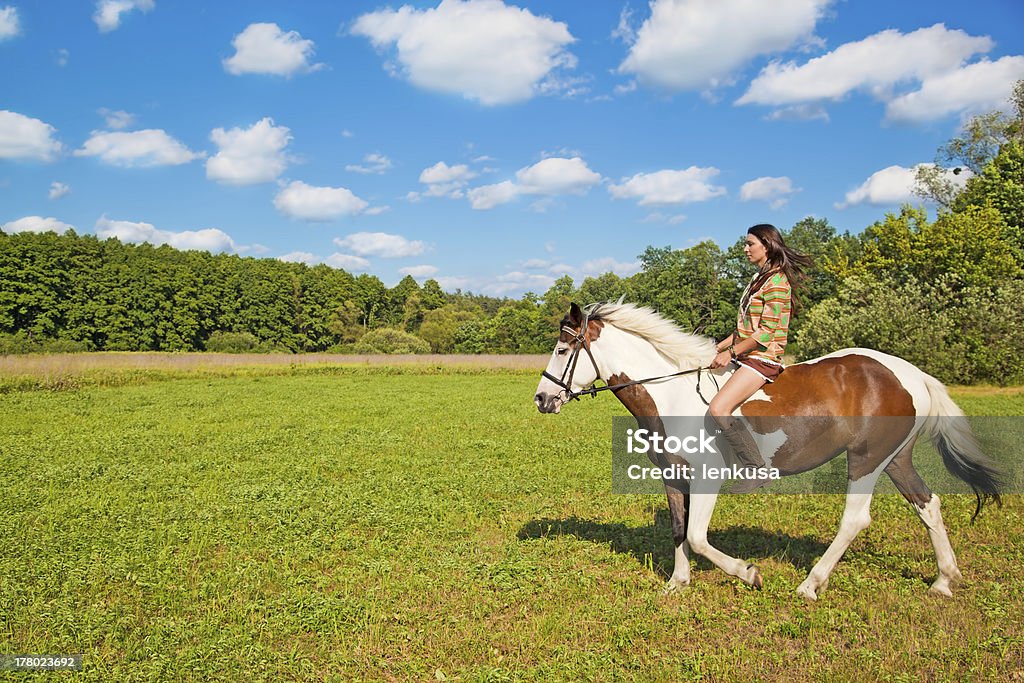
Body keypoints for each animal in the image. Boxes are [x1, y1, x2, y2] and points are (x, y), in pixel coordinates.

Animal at [536, 303, 999, 598]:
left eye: (562, 350)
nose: (542, 399)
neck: (670, 392)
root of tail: (912, 373)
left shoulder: (706, 478)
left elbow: (698, 537)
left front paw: (749, 573)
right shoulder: (672, 476)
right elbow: (678, 530)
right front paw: (677, 584)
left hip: (866, 459)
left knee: (855, 519)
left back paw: (810, 585)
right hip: (895, 459)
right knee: (928, 505)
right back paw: (944, 581)